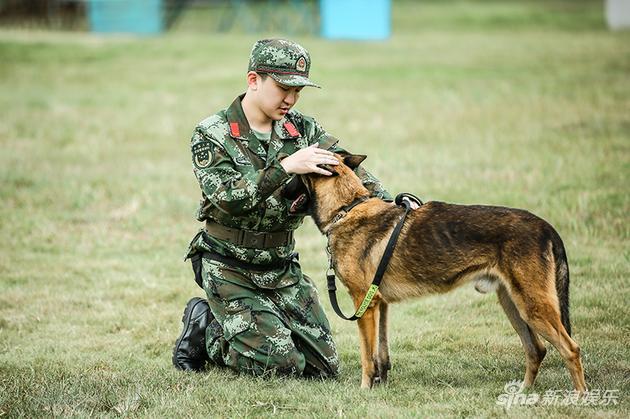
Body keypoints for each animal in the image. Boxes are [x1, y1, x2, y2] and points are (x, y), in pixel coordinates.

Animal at [298, 154, 592, 394]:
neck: (346, 209)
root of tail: (547, 227)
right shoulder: (380, 304)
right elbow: (381, 354)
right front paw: (381, 384)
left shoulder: (365, 305)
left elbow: (366, 357)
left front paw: (365, 390)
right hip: (514, 305)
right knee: (536, 350)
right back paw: (522, 393)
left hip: (533, 308)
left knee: (571, 349)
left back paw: (579, 398)